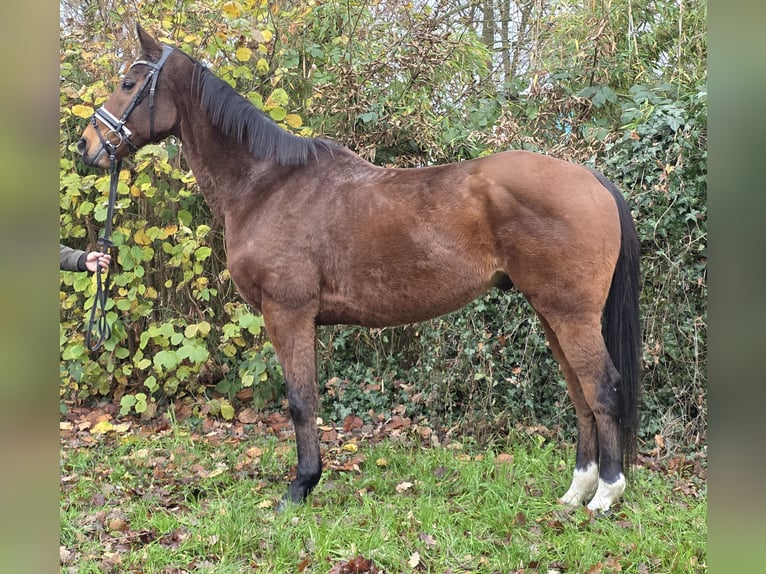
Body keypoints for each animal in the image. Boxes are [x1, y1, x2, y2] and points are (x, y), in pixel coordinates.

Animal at [78, 25, 641, 512]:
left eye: (129, 83)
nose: (87, 146)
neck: (267, 184)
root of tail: (591, 179)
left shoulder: (288, 313)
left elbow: (301, 401)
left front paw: (301, 486)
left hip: (570, 314)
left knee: (603, 390)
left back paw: (605, 495)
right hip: (550, 313)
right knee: (580, 393)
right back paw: (577, 490)